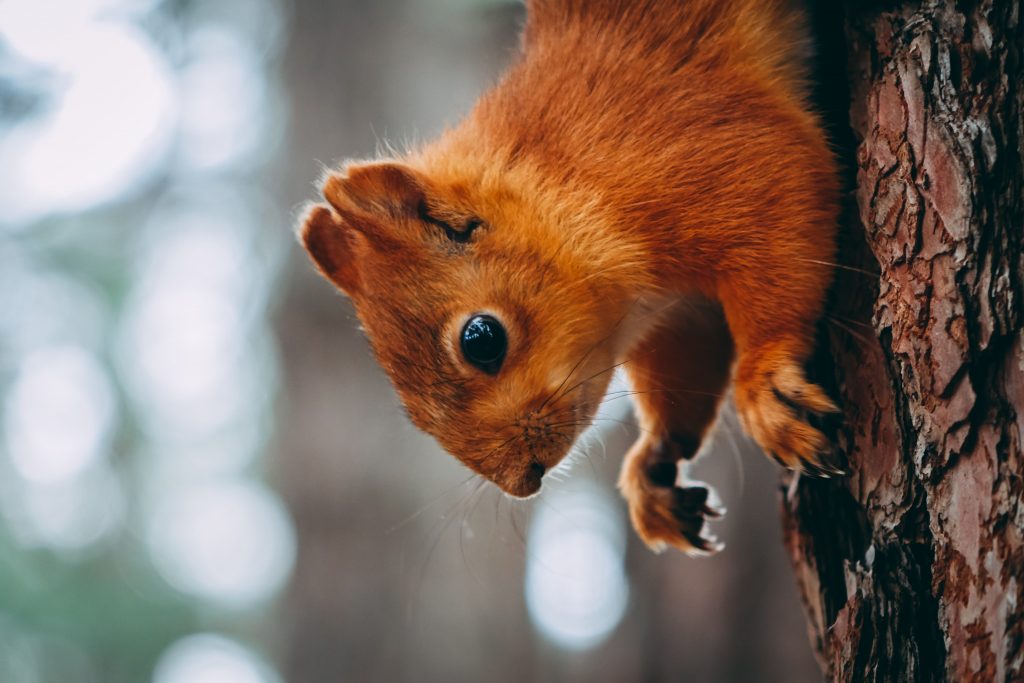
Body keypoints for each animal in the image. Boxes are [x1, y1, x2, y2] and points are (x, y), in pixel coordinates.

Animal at [299, 0, 843, 557]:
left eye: (481, 339)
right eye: (411, 413)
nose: (523, 480)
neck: (561, 178)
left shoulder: (709, 146)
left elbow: (785, 195)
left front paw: (763, 381)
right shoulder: (679, 312)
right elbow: (686, 363)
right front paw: (654, 464)